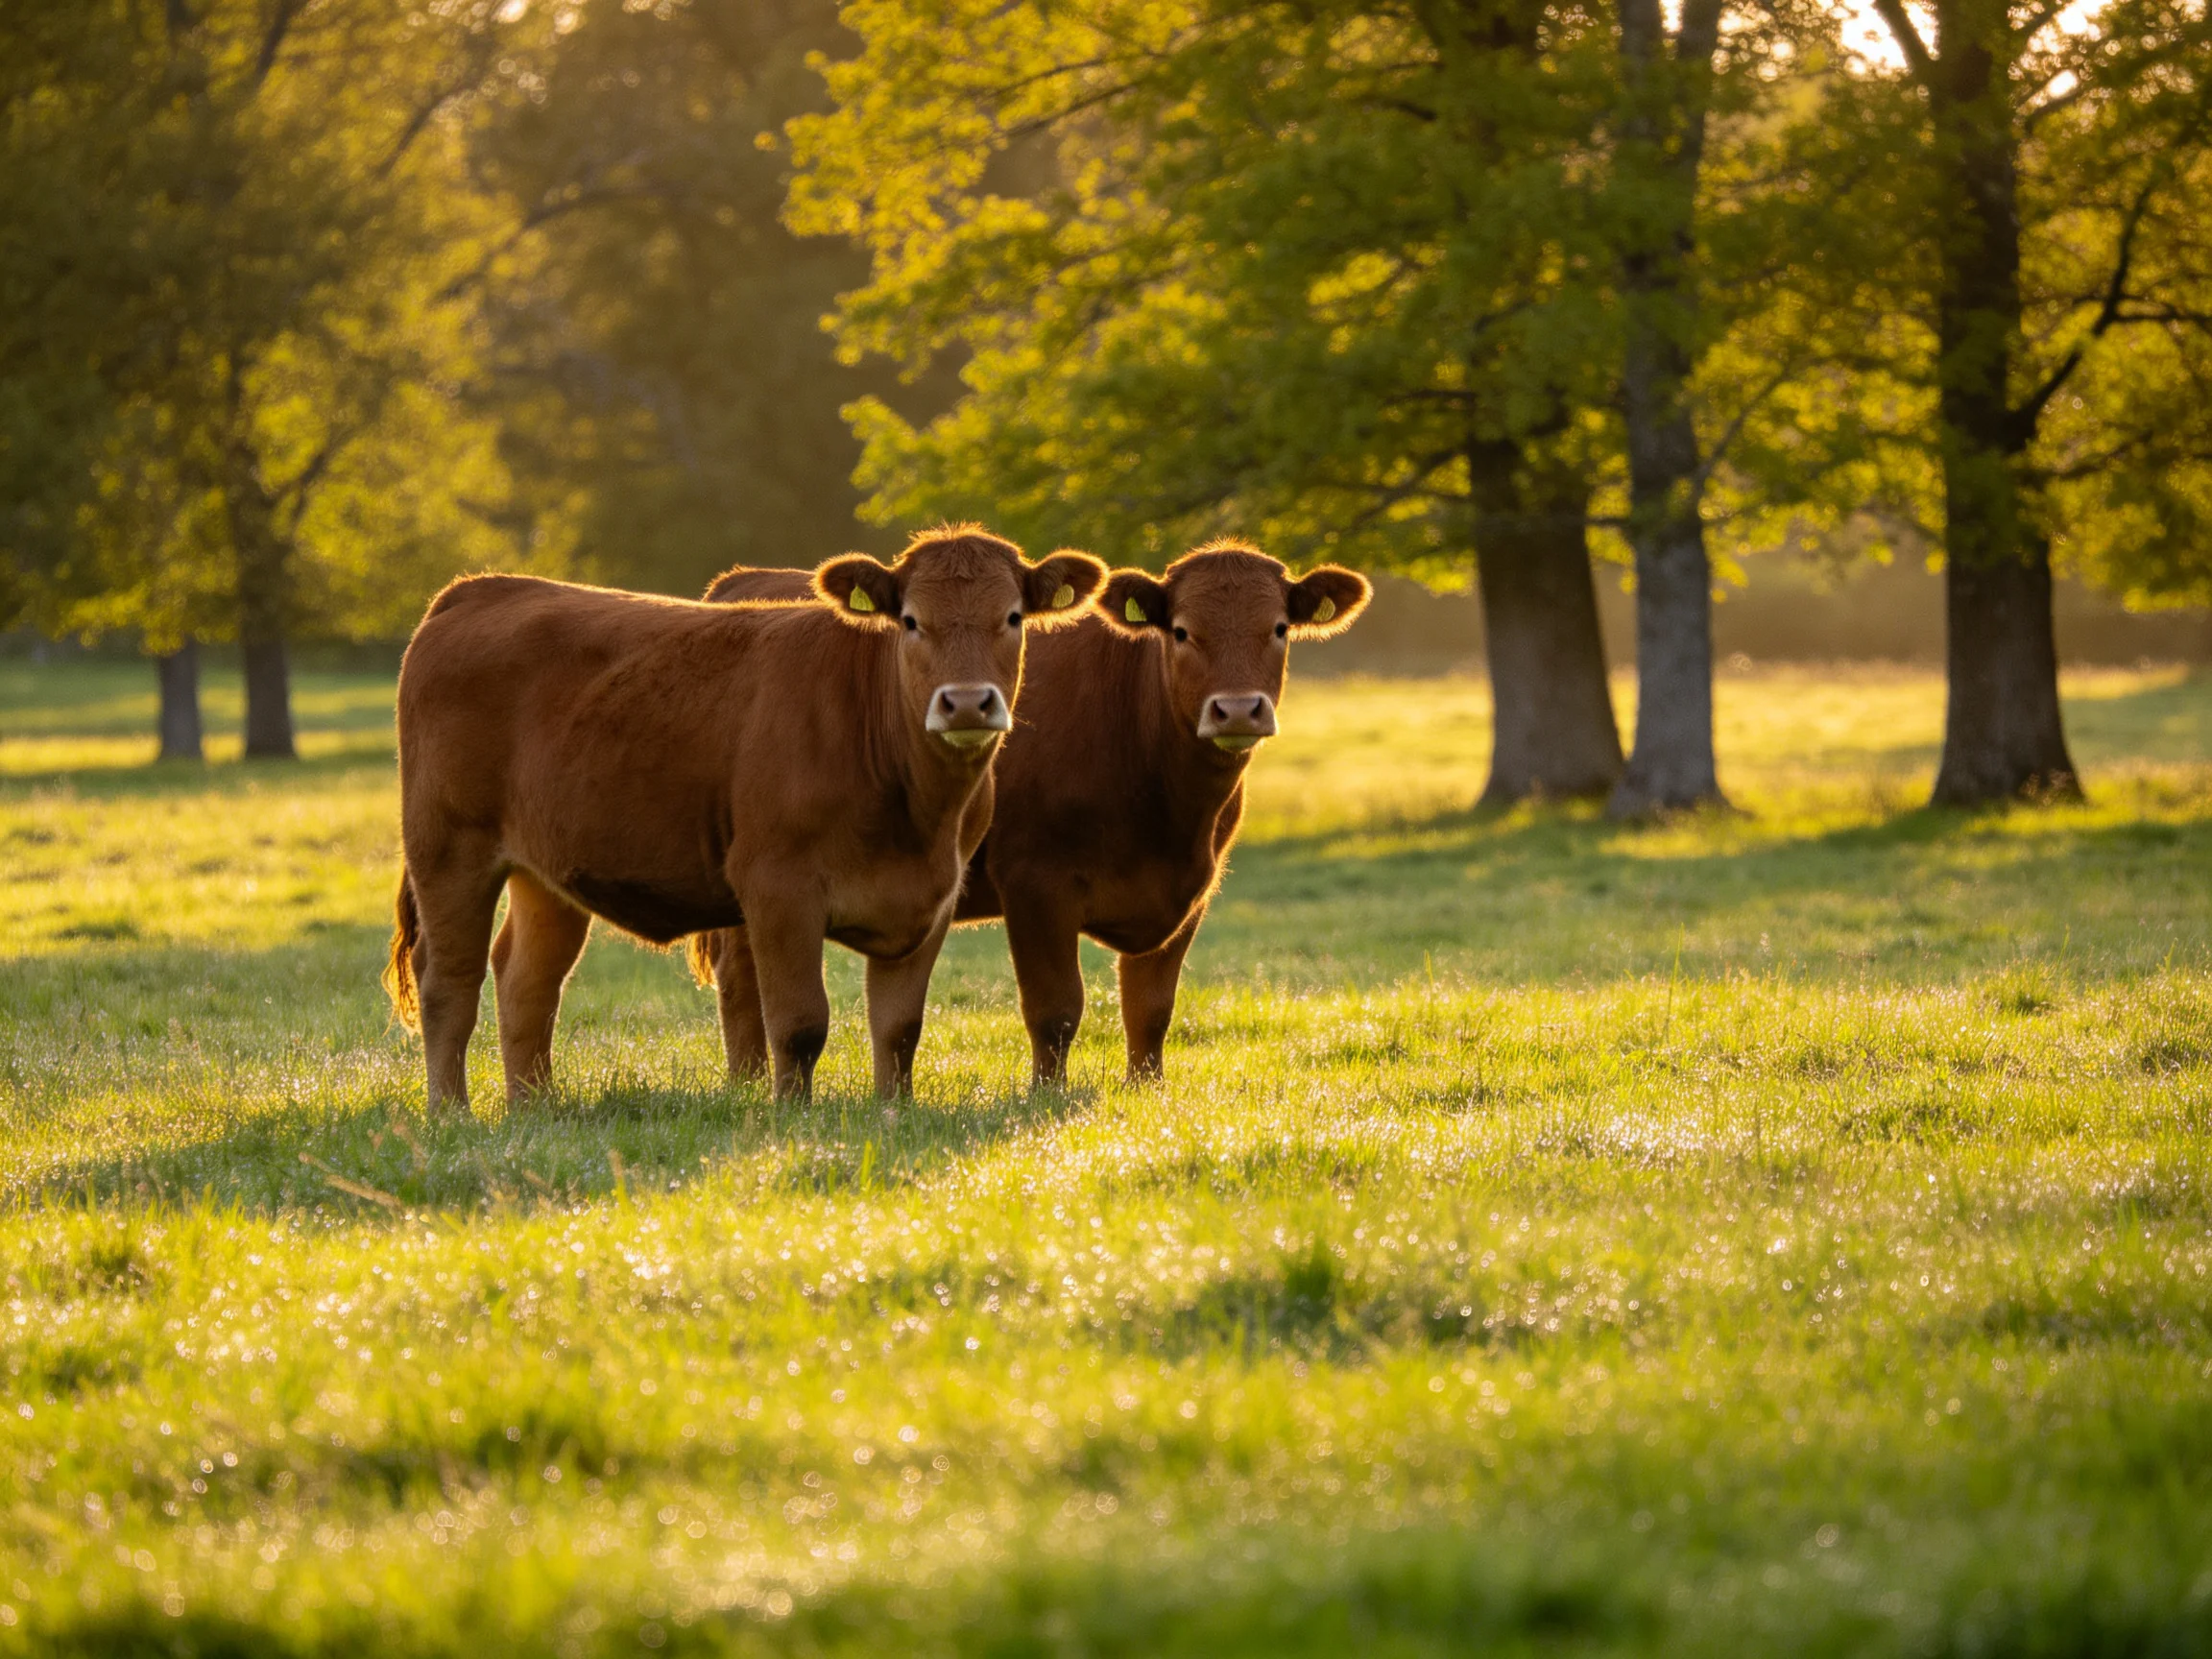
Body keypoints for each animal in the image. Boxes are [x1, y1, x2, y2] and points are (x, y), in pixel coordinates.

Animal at [382, 526, 1106, 1110]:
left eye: (1012, 617)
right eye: (909, 620)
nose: (965, 703)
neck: (916, 811)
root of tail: (479, 590)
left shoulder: (933, 896)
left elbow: (899, 1027)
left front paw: (892, 1110)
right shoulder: (778, 888)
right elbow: (799, 1022)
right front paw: (791, 1114)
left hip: (547, 872)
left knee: (526, 983)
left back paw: (536, 1108)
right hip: (449, 852)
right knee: (450, 984)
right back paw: (451, 1112)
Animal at [691, 541, 1370, 1086]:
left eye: (1279, 628)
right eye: (1181, 631)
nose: (1237, 710)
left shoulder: (1190, 894)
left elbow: (1150, 1008)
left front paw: (1145, 1090)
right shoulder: (1036, 883)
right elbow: (1055, 1009)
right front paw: (1047, 1095)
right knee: (742, 978)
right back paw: (749, 1084)